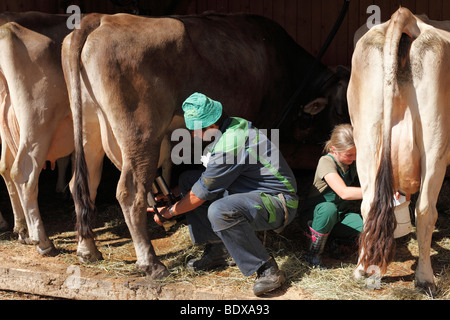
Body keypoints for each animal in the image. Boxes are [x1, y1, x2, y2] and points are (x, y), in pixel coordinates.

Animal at [62, 12, 352, 278]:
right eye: (340, 110)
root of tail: (101, 19)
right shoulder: (268, 120)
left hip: (90, 129)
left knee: (83, 184)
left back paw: (88, 250)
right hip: (141, 132)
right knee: (129, 192)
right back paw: (151, 264)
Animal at [348, 7, 450, 294]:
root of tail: (408, 18)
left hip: (367, 135)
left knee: (369, 202)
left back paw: (362, 269)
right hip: (435, 139)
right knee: (426, 209)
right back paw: (425, 278)